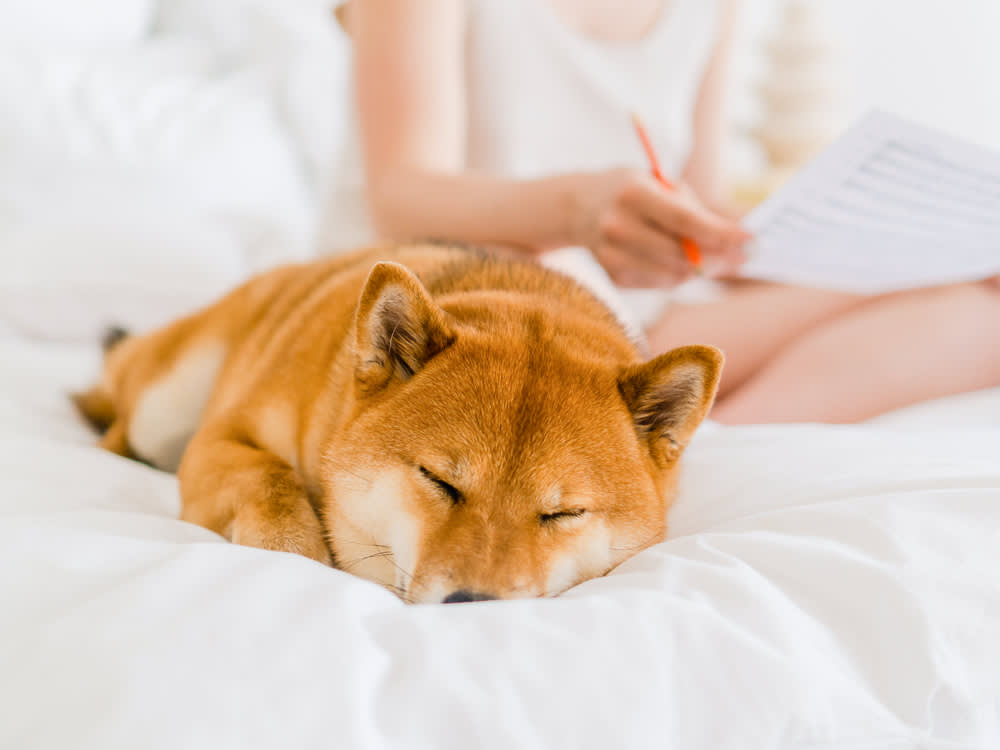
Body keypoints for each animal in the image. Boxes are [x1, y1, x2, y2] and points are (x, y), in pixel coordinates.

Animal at [74, 247, 724, 604]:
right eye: (441, 482)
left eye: (563, 513)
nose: (473, 602)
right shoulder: (221, 440)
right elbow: (273, 484)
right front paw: (295, 555)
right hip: (164, 406)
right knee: (118, 417)